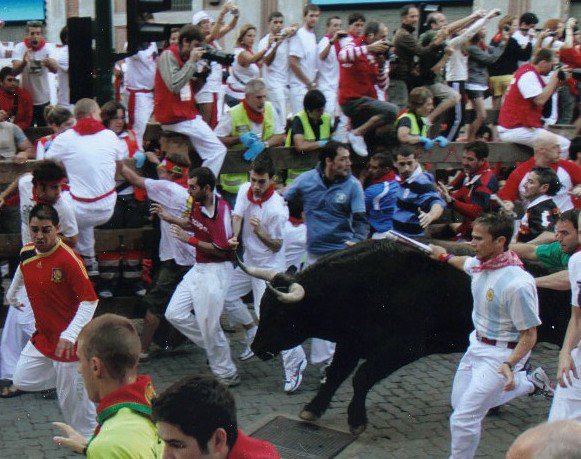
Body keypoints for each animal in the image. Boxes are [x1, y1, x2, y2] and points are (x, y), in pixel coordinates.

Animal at [247, 239, 568, 436]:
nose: (257, 347)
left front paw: (357, 421)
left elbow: (362, 377)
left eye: (280, 313)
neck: (363, 286)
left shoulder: (403, 347)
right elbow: (336, 374)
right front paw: (312, 409)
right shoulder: (351, 341)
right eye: (262, 306)